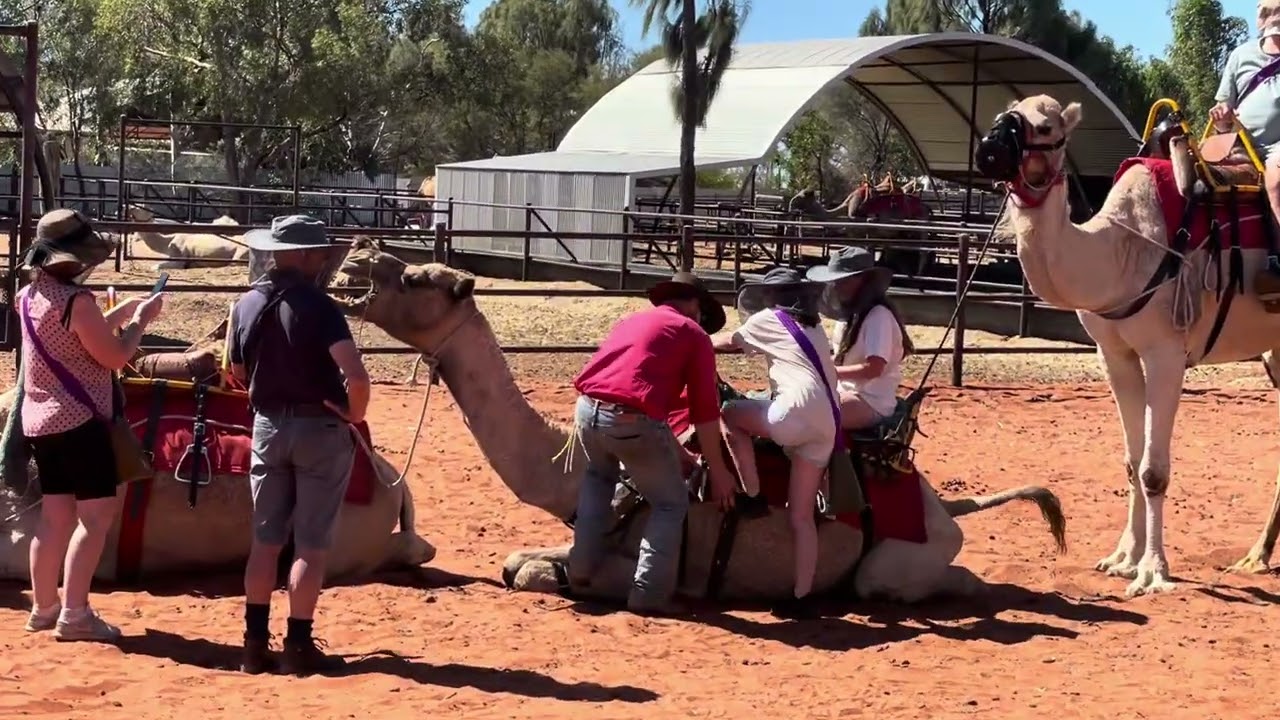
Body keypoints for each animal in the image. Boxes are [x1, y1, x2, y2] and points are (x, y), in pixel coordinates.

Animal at [331, 237, 1069, 604]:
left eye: (421, 278)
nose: (359, 258)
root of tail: (946, 508)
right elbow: (519, 562)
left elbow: (551, 575)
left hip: (897, 564)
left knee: (912, 581)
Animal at [975, 93, 1280, 598]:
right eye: (1001, 117)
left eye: (1044, 126)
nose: (987, 151)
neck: (1117, 249)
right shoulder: (1115, 355)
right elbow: (1132, 462)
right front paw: (1122, 558)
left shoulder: (1165, 354)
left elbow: (1154, 471)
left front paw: (1153, 571)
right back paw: (1255, 557)